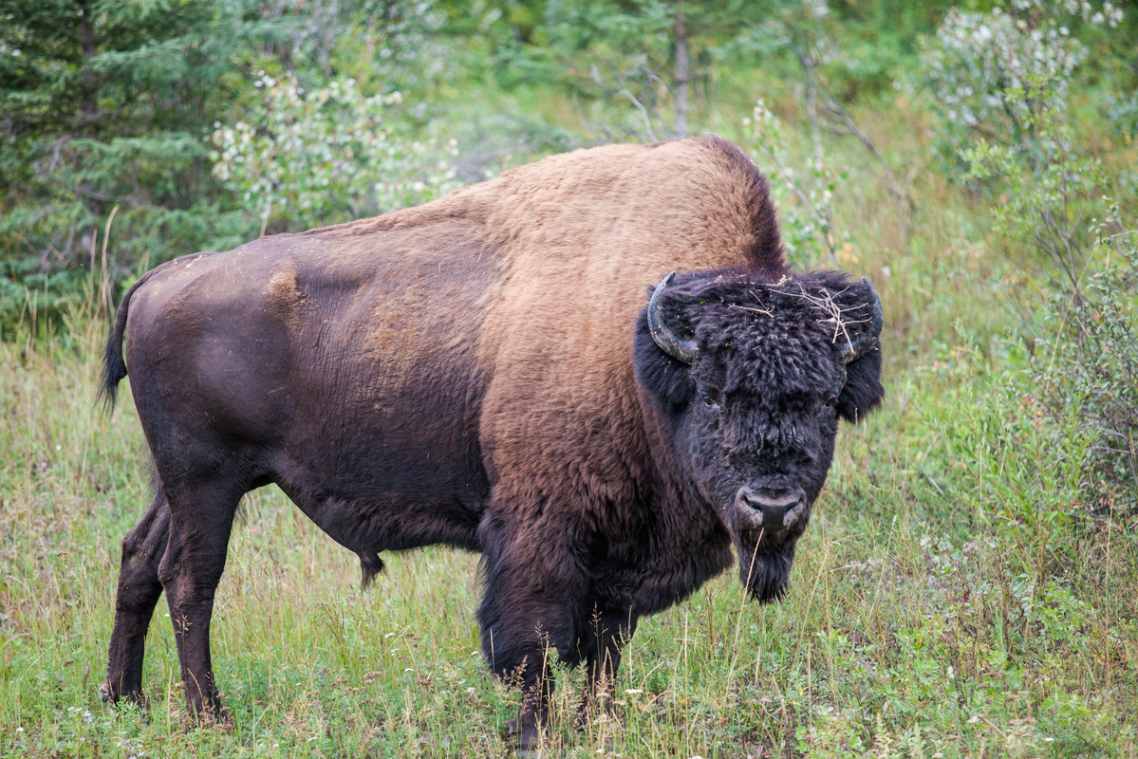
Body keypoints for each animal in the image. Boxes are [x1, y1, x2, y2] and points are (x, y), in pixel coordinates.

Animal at [100, 134, 878, 746]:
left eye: (824, 402)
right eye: (715, 394)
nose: (771, 507)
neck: (637, 352)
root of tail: (158, 279)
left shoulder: (617, 555)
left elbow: (606, 645)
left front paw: (600, 725)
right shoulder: (541, 532)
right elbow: (534, 645)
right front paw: (534, 735)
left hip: (181, 482)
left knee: (139, 557)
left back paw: (124, 701)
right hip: (208, 480)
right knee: (191, 579)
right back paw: (211, 717)